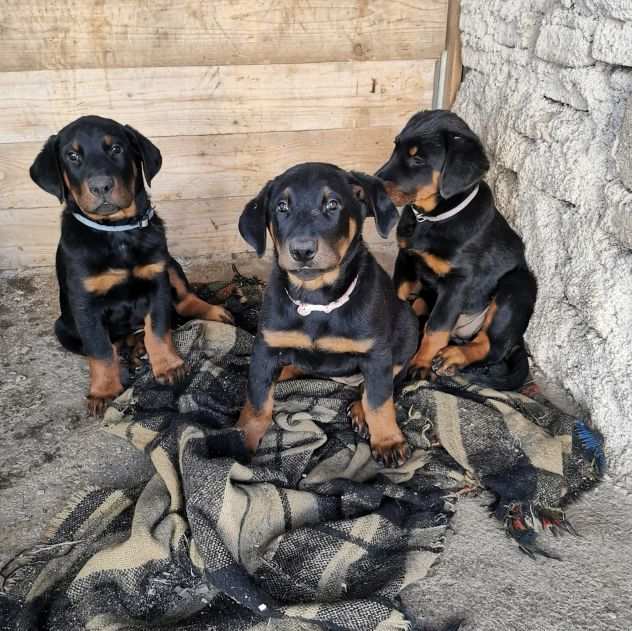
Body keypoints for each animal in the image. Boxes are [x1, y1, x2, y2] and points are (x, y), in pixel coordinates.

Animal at [30, 116, 232, 418]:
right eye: (72, 156)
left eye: (116, 149)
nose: (101, 186)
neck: (117, 231)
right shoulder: (85, 302)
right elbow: (100, 349)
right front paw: (103, 391)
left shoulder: (156, 280)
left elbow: (158, 329)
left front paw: (168, 366)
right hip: (63, 328)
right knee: (114, 343)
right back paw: (130, 348)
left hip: (170, 264)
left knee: (184, 301)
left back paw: (213, 313)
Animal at [235, 163, 418, 466]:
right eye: (282, 207)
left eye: (333, 204)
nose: (302, 250)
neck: (316, 302)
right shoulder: (267, 346)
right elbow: (258, 399)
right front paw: (240, 441)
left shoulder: (376, 353)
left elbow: (379, 400)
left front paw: (388, 441)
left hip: (407, 327)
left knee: (381, 384)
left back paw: (360, 412)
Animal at [376, 111, 540, 390]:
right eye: (395, 147)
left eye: (418, 158)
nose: (373, 183)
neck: (431, 218)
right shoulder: (406, 259)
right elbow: (399, 297)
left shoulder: (458, 281)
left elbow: (437, 326)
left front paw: (420, 363)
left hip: (517, 286)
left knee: (491, 346)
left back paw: (453, 356)